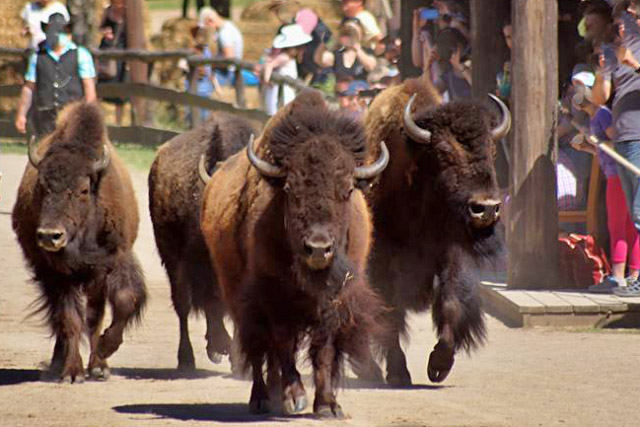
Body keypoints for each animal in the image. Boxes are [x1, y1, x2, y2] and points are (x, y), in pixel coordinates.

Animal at [12, 102, 147, 383]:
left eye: (83, 190)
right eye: (41, 187)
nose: (50, 235)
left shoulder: (108, 266)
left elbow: (113, 308)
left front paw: (101, 361)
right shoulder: (58, 274)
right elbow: (70, 320)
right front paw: (73, 372)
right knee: (60, 320)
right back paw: (58, 364)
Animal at [200, 91, 389, 417]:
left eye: (347, 189)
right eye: (289, 188)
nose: (318, 248)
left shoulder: (334, 301)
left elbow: (323, 349)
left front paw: (327, 405)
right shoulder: (272, 298)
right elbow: (282, 342)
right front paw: (296, 396)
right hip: (239, 299)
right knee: (258, 349)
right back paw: (263, 399)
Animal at [362, 77, 511, 385]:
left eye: (491, 151)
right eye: (443, 153)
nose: (486, 209)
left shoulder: (452, 257)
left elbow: (451, 304)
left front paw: (439, 365)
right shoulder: (382, 268)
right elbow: (391, 314)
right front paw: (398, 373)